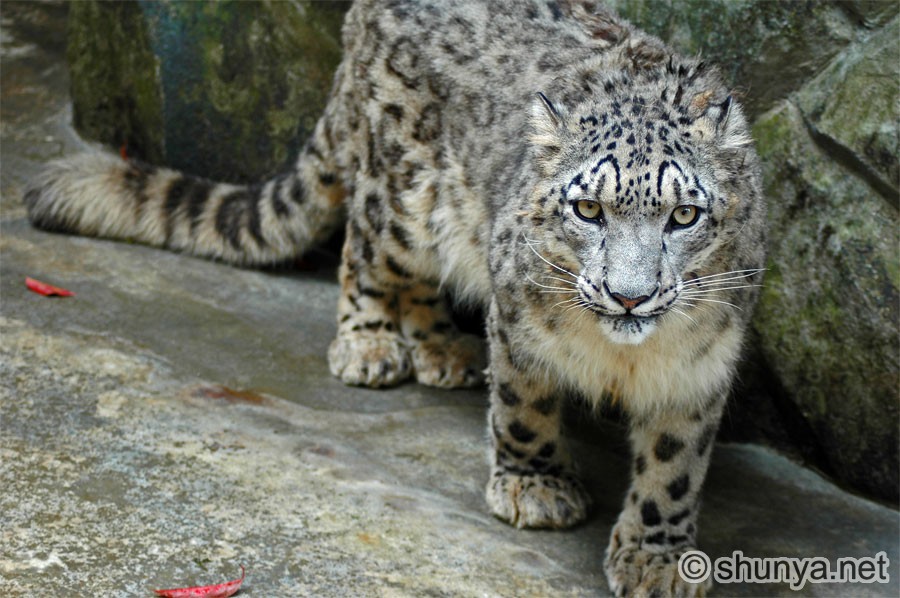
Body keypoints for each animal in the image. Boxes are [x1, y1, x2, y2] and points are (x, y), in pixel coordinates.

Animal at [24, 0, 766, 595]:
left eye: (683, 216)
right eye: (588, 208)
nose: (628, 297)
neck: (625, 356)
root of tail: (359, 18)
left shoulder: (700, 363)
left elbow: (674, 464)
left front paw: (657, 557)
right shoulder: (518, 320)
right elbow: (523, 407)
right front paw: (536, 486)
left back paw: (442, 350)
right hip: (402, 199)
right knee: (365, 251)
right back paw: (370, 344)